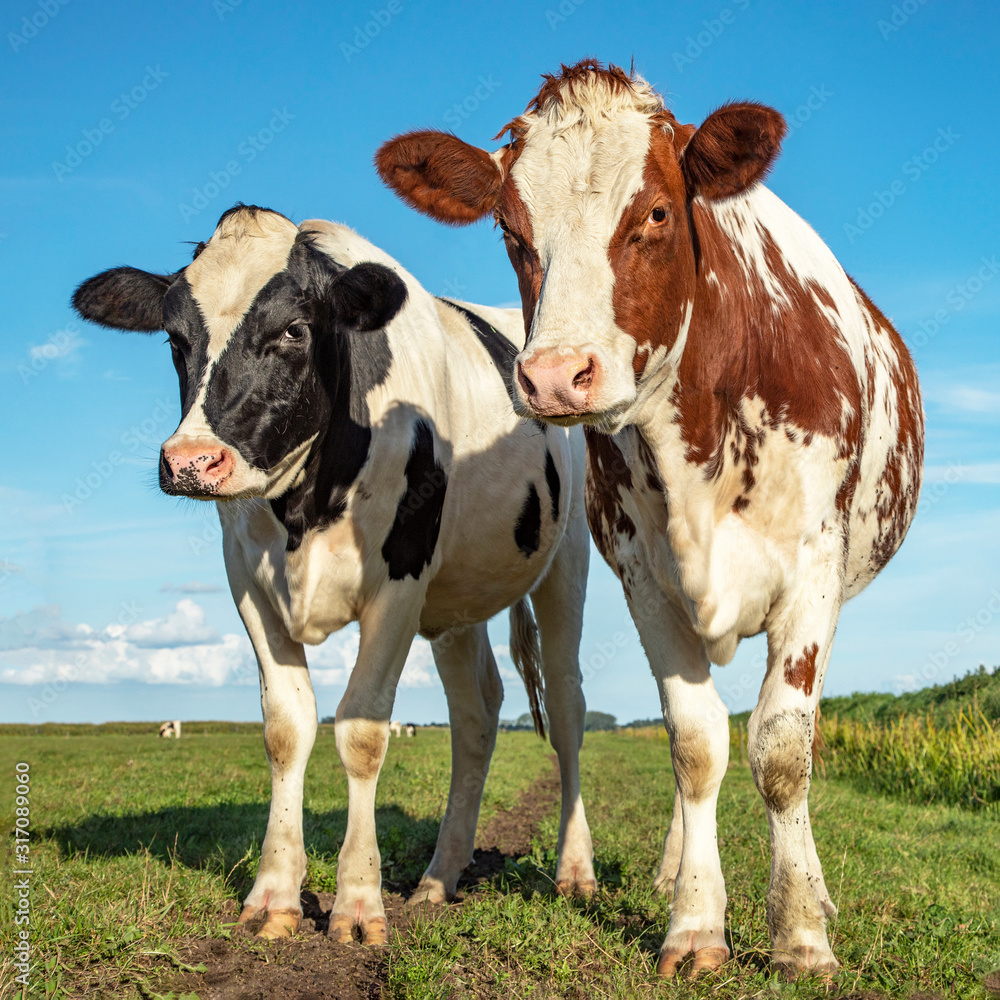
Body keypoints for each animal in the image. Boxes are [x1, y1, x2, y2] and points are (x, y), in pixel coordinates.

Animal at [76, 205, 600, 944]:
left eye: (294, 330)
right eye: (176, 338)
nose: (190, 461)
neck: (309, 502)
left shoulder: (400, 582)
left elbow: (361, 730)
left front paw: (356, 901)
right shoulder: (247, 581)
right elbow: (286, 728)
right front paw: (274, 894)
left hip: (566, 561)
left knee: (568, 703)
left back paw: (574, 872)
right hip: (456, 602)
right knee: (477, 714)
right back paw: (439, 876)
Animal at [378, 60, 924, 976]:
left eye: (658, 213)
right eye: (510, 230)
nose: (556, 376)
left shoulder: (812, 571)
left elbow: (784, 749)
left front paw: (800, 933)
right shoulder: (643, 576)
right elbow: (694, 743)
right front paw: (696, 923)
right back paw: (676, 874)